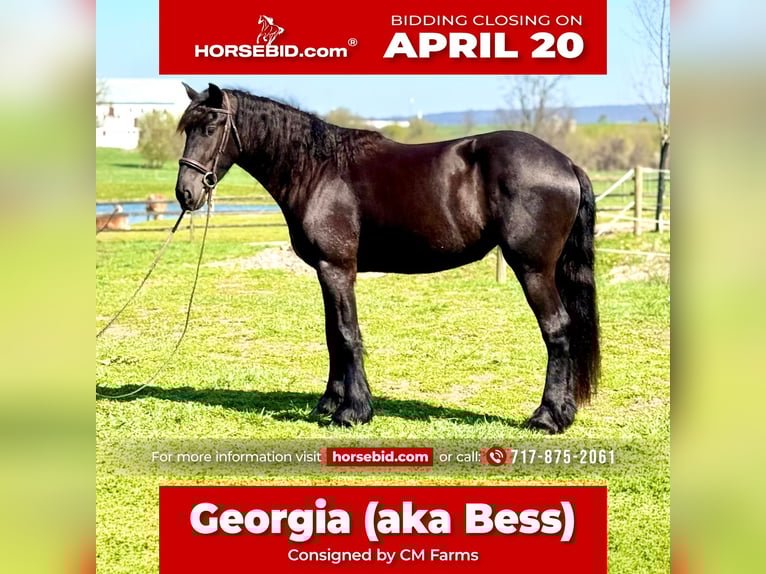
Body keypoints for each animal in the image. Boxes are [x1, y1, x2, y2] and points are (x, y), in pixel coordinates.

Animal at [174, 83, 600, 433]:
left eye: (210, 127)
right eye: (187, 129)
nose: (185, 193)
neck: (318, 169)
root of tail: (566, 163)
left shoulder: (337, 268)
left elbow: (347, 334)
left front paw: (353, 411)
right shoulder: (326, 272)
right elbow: (332, 335)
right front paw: (329, 403)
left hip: (533, 269)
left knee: (557, 330)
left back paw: (547, 417)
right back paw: (563, 413)